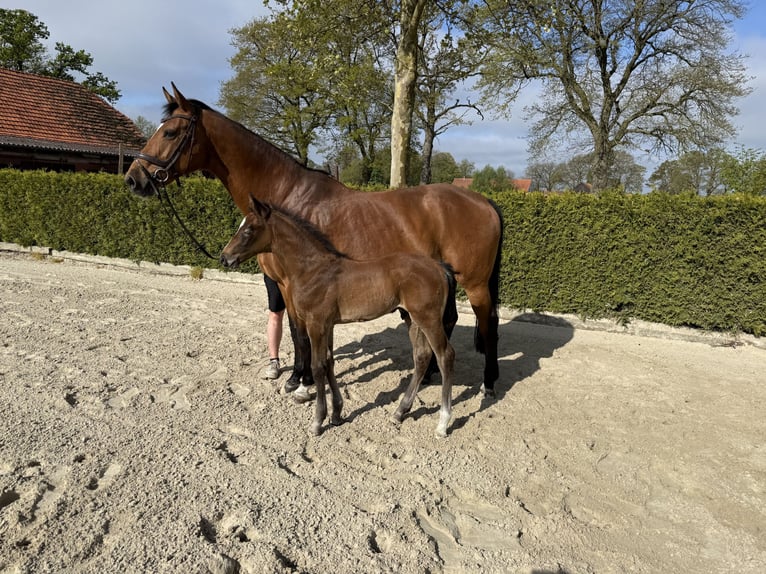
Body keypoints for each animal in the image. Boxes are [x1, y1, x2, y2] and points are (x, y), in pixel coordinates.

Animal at [125, 83, 504, 396]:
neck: (287, 195)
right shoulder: (285, 284)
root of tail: (484, 201)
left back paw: (488, 384)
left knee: (489, 326)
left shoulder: (293, 284)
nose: (133, 179)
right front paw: (296, 377)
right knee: (447, 322)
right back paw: (429, 376)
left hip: (475, 284)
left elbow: (303, 334)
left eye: (170, 132)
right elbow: (295, 331)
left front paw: (305, 383)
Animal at [220, 195, 457, 437]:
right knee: (421, 357)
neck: (313, 270)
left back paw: (442, 424)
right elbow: (329, 362)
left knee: (445, 356)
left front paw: (317, 421)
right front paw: (336, 413)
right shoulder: (328, 325)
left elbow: (317, 367)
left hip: (429, 319)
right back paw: (400, 412)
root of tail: (439, 267)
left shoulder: (316, 324)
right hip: (411, 318)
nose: (224, 258)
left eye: (248, 230)